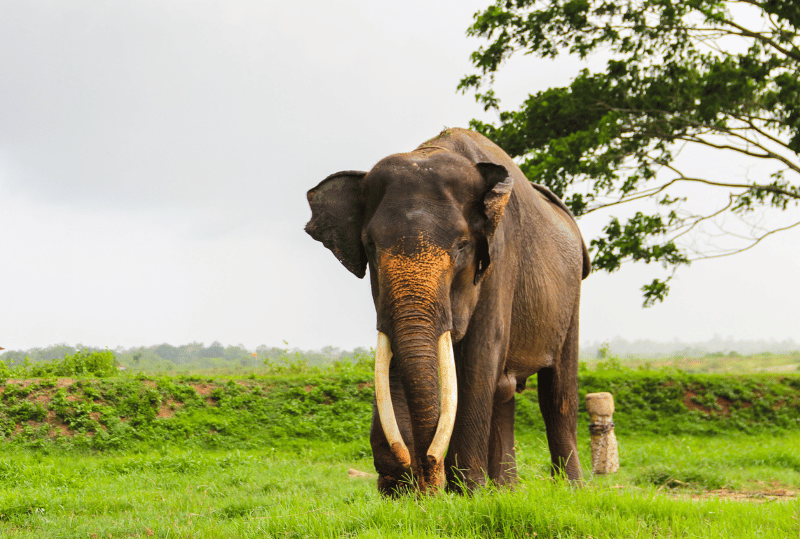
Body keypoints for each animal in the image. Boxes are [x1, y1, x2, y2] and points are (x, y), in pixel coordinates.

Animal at [304, 129, 588, 496]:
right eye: (369, 245)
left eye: (462, 246)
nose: (428, 475)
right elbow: (396, 359)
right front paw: (401, 490)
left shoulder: (500, 260)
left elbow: (479, 359)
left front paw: (467, 492)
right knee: (504, 391)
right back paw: (506, 491)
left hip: (572, 296)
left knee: (557, 394)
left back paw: (572, 489)